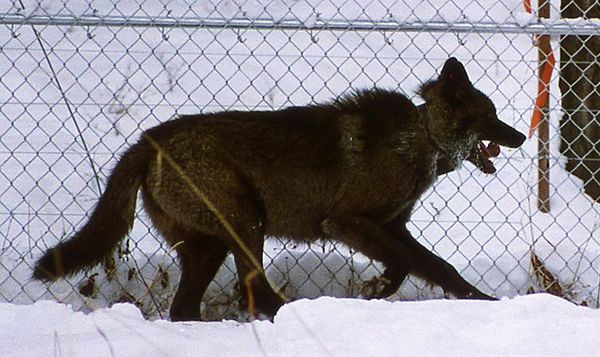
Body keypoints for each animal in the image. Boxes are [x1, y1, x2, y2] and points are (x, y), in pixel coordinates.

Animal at [35, 57, 528, 320]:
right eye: (490, 115)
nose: (521, 137)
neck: (420, 138)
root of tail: (146, 141)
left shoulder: (393, 227)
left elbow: (440, 268)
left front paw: (484, 302)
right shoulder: (346, 221)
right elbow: (404, 264)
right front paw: (375, 290)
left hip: (212, 246)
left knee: (188, 307)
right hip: (246, 224)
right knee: (255, 290)